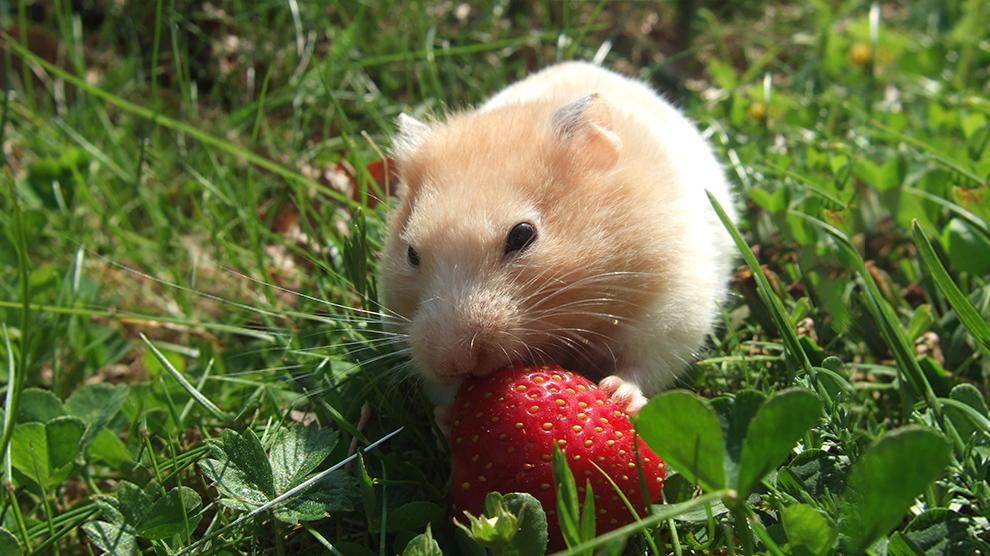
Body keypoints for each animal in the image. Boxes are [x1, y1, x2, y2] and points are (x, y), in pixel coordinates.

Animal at [380, 61, 736, 415]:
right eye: (411, 253)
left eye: (522, 235)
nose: (451, 362)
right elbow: (442, 392)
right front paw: (447, 413)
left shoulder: (672, 312)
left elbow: (643, 365)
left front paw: (616, 394)